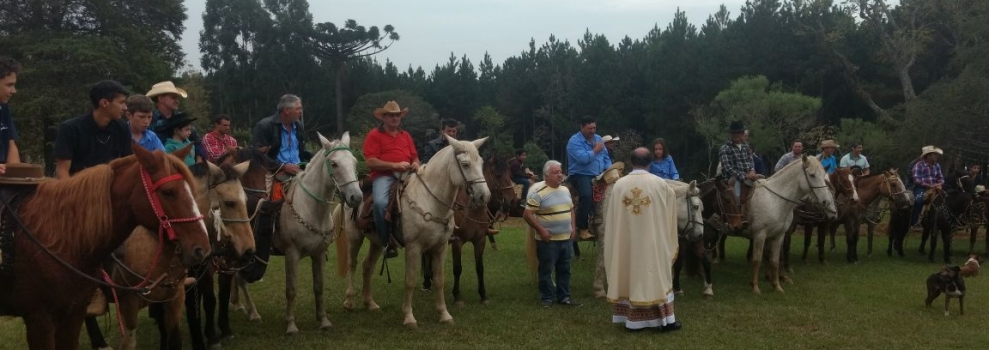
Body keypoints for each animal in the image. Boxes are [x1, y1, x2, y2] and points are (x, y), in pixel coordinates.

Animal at [272, 131, 360, 334]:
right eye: (334, 164)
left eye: (354, 161)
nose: (356, 197)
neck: (310, 209)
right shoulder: (291, 254)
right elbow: (291, 289)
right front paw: (290, 325)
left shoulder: (319, 254)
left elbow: (319, 287)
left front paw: (324, 321)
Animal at [336, 135, 490, 326]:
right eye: (466, 164)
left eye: (481, 163)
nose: (484, 196)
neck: (430, 201)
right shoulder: (413, 247)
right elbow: (410, 281)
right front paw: (409, 317)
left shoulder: (441, 247)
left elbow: (439, 280)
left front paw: (444, 314)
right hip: (354, 238)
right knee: (353, 264)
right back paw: (349, 302)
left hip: (377, 242)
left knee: (367, 266)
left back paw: (370, 303)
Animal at [420, 154, 516, 304]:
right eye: (498, 175)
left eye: (510, 174)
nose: (512, 201)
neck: (471, 210)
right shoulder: (457, 242)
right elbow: (457, 268)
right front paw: (457, 296)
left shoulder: (480, 240)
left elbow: (480, 268)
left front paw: (483, 295)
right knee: (426, 255)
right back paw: (426, 282)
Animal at [732, 154, 832, 294]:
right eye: (812, 175)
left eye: (823, 175)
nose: (825, 202)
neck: (774, 200)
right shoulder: (760, 235)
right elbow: (757, 260)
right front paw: (755, 287)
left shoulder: (779, 235)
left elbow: (775, 260)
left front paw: (777, 286)